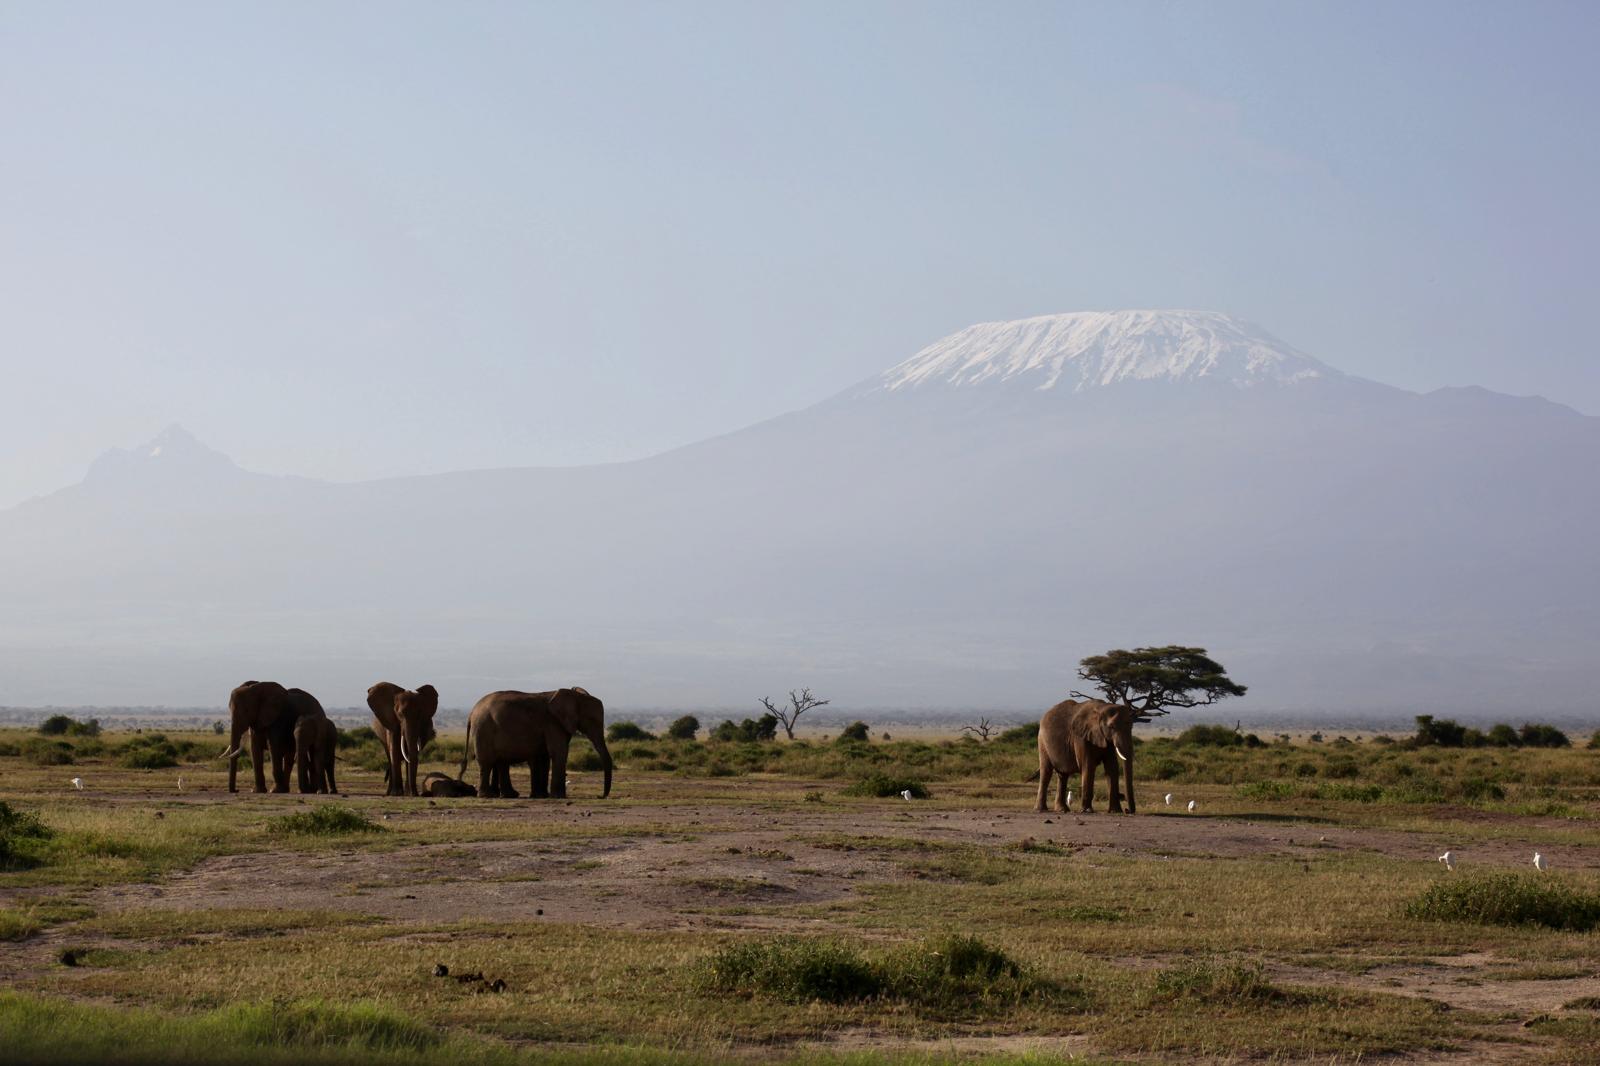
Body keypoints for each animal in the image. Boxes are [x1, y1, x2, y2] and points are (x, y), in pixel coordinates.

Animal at [458, 688, 613, 800]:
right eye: (592, 720)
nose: (600, 796)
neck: (574, 694)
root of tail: (471, 713)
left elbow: (545, 756)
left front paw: (543, 796)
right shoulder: (552, 723)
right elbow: (559, 752)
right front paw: (558, 797)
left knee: (501, 761)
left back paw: (509, 795)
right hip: (483, 730)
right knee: (487, 762)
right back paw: (488, 796)